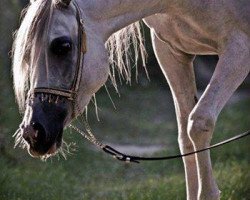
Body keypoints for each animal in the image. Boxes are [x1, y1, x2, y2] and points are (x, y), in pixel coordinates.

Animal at [12, 0, 250, 199]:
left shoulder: (238, 49)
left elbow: (199, 123)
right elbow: (185, 136)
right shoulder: (171, 51)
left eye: (63, 46)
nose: (33, 132)